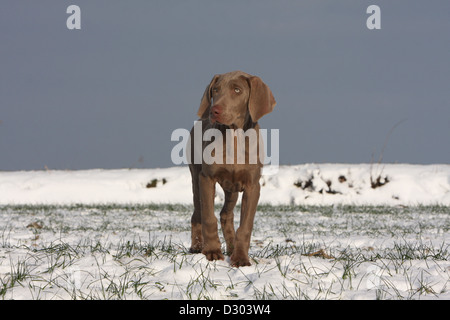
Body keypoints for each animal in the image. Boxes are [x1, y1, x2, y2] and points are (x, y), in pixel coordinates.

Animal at [188, 71, 276, 266]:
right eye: (215, 90)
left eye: (237, 90)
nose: (214, 111)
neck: (234, 137)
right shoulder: (206, 179)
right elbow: (208, 217)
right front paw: (212, 251)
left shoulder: (253, 186)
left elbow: (245, 226)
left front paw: (241, 257)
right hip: (196, 178)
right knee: (198, 214)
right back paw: (197, 246)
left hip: (232, 189)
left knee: (225, 215)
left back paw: (232, 248)